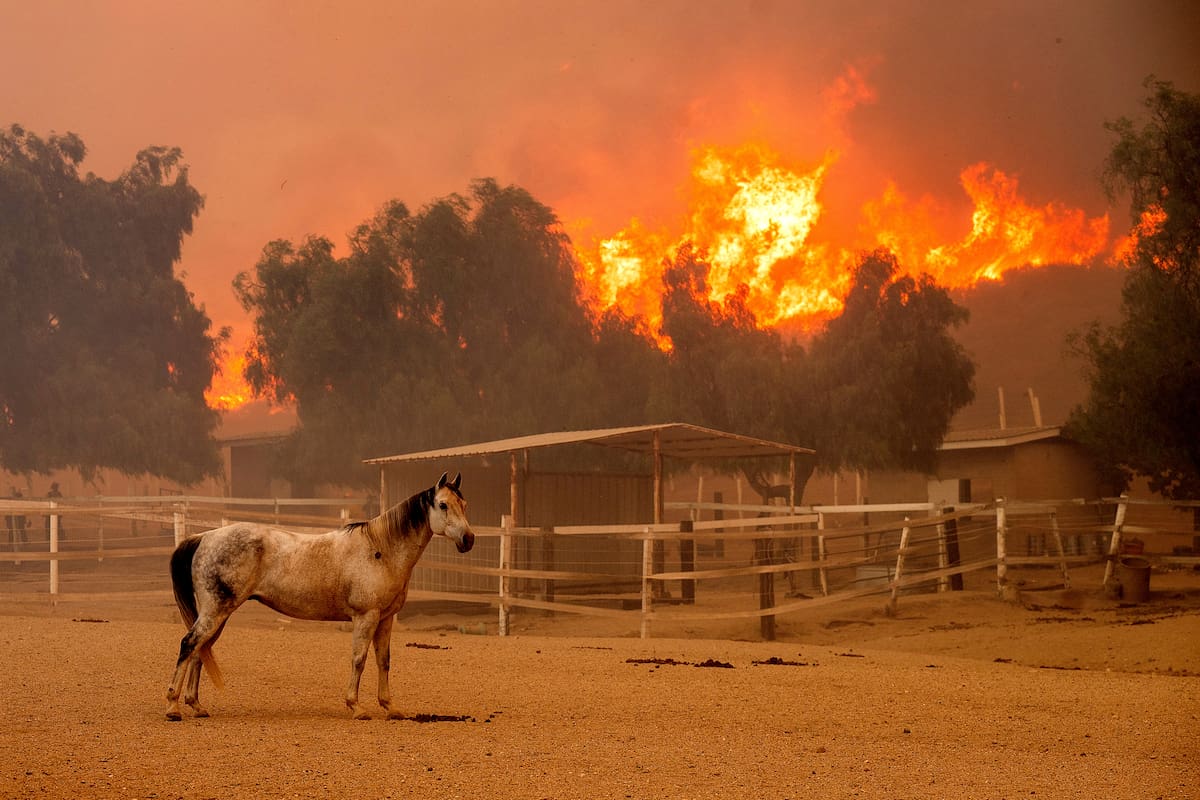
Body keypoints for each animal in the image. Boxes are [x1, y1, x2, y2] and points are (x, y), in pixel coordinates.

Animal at [165, 472, 475, 721]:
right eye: (443, 505)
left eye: (464, 505)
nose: (468, 539)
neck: (380, 549)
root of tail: (206, 537)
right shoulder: (366, 617)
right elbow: (359, 659)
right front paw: (356, 707)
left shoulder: (385, 619)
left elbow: (383, 661)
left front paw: (391, 707)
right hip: (215, 611)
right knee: (188, 644)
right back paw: (173, 707)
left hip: (219, 614)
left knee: (200, 649)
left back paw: (196, 706)